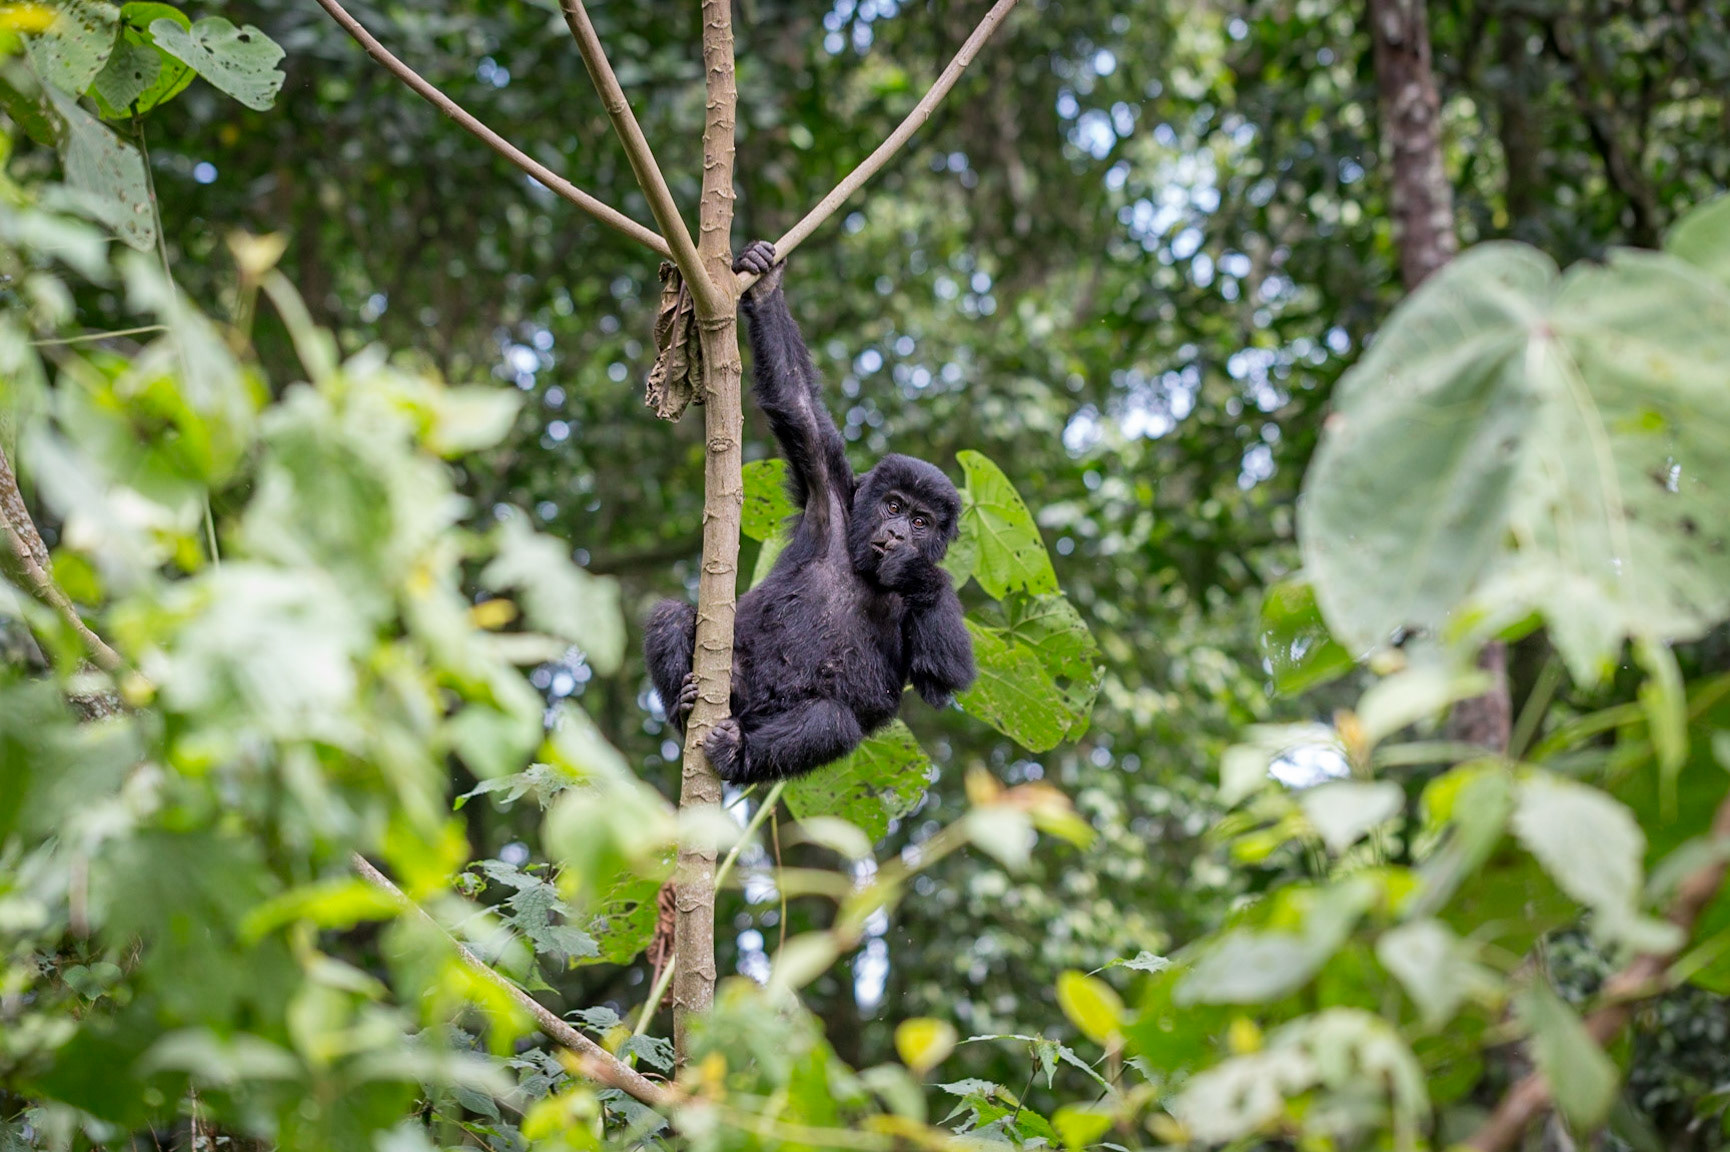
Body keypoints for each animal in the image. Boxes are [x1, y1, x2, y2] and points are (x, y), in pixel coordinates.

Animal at [644, 240, 975, 783]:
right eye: (893, 504)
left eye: (921, 521)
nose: (898, 533)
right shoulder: (829, 495)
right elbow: (795, 401)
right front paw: (764, 282)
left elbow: (945, 676)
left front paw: (915, 571)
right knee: (671, 614)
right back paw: (687, 701)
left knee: (831, 721)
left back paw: (737, 751)